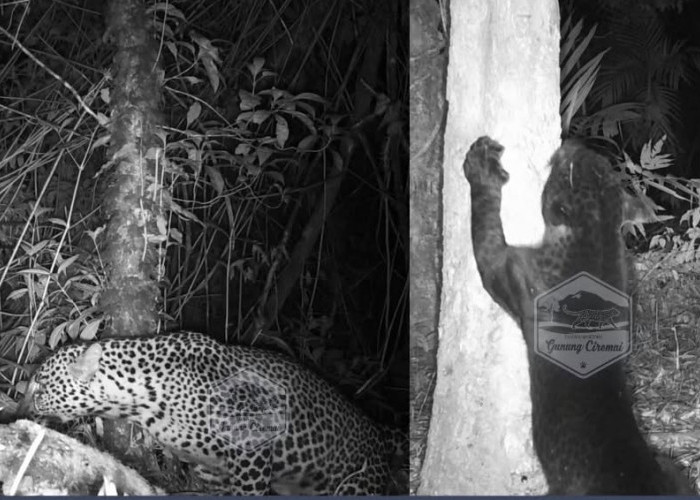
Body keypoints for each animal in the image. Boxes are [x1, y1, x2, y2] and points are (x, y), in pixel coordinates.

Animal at [16, 332, 404, 496]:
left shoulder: (252, 451)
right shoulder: (209, 469)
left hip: (356, 483)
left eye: (41, 385)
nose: (17, 409)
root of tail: (378, 430)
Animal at [462, 137, 692, 496]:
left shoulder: (502, 267)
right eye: (599, 162)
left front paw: (482, 167)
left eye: (565, 167)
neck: (597, 240)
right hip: (672, 466)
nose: (571, 143)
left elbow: (484, 221)